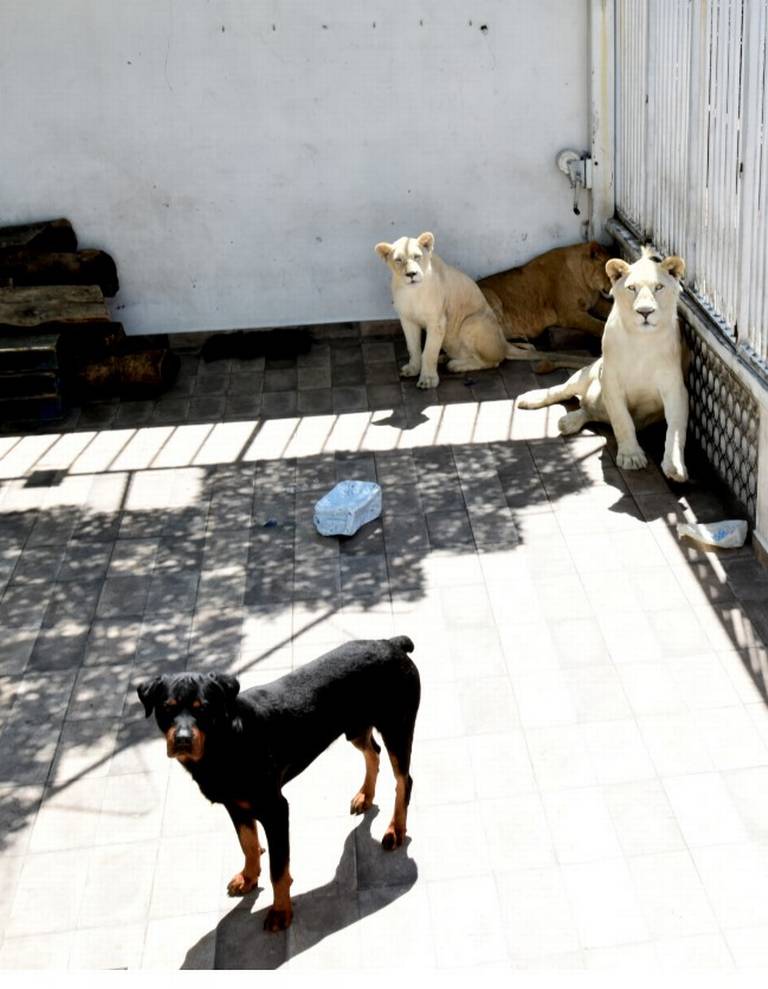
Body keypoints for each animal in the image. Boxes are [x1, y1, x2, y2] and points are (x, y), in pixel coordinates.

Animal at [376, 230, 536, 388]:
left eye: (417, 256)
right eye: (398, 260)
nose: (411, 274)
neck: (412, 292)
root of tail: (504, 344)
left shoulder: (437, 322)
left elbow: (429, 352)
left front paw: (428, 379)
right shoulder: (407, 320)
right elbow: (413, 348)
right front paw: (413, 368)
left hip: (471, 323)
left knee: (493, 362)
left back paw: (455, 365)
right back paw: (445, 358)